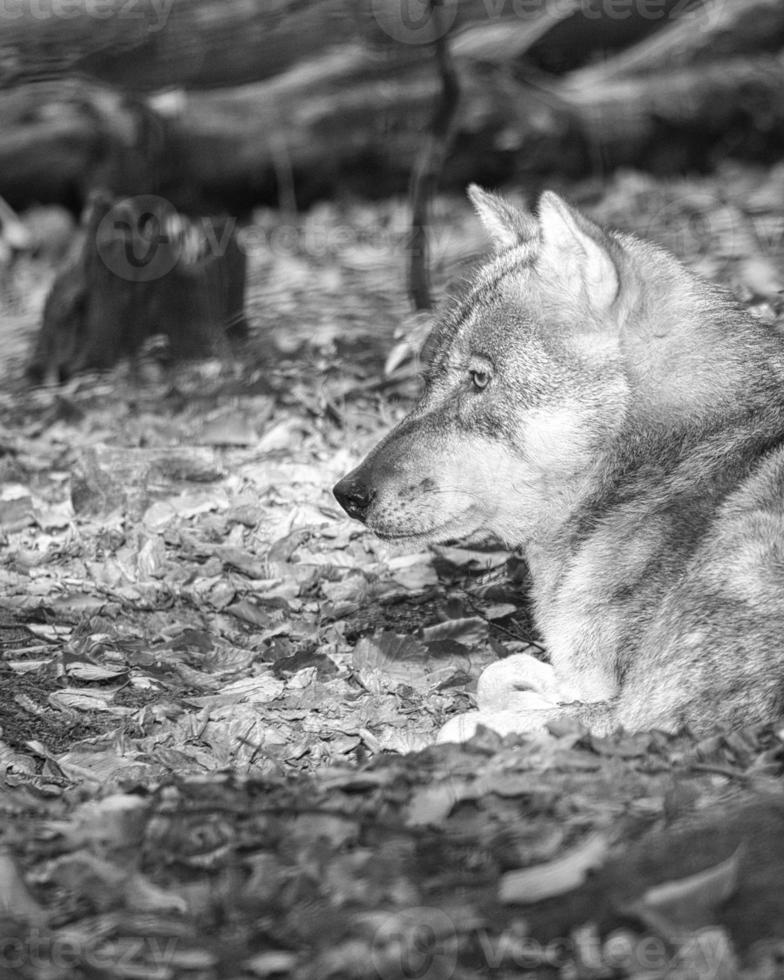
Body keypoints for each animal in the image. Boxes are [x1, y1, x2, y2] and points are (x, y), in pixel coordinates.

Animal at [334, 184, 784, 740]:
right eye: (429, 379)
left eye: (479, 379)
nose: (346, 495)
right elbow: (502, 673)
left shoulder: (645, 711)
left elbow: (478, 716)